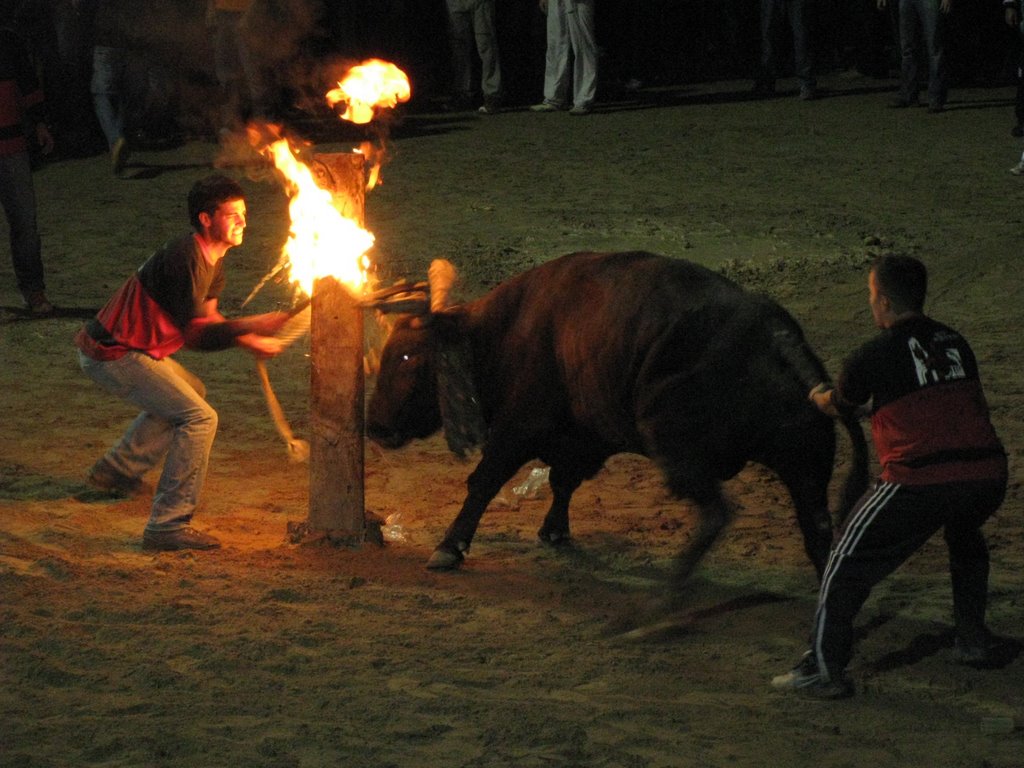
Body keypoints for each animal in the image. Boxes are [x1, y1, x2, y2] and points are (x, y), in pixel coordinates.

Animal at [366, 252, 864, 589]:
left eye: (406, 356)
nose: (373, 425)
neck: (502, 332)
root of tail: (776, 334)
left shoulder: (517, 428)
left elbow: (484, 481)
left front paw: (449, 547)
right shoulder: (582, 438)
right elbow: (562, 481)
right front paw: (554, 530)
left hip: (680, 450)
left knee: (718, 514)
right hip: (805, 467)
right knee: (819, 532)